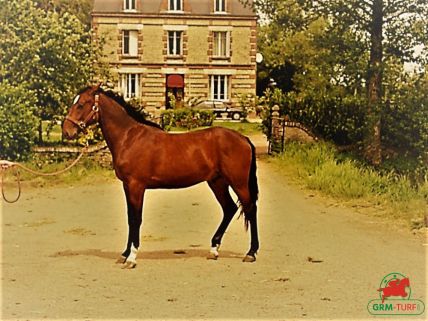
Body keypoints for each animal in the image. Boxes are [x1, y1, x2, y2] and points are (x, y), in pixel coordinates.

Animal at [61, 84, 260, 268]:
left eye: (81, 104)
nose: (66, 131)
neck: (129, 138)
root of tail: (243, 139)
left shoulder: (136, 186)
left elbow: (136, 219)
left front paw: (132, 258)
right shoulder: (127, 186)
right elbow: (130, 218)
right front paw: (124, 254)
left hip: (238, 183)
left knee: (250, 209)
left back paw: (251, 253)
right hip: (217, 182)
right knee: (229, 209)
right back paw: (214, 249)